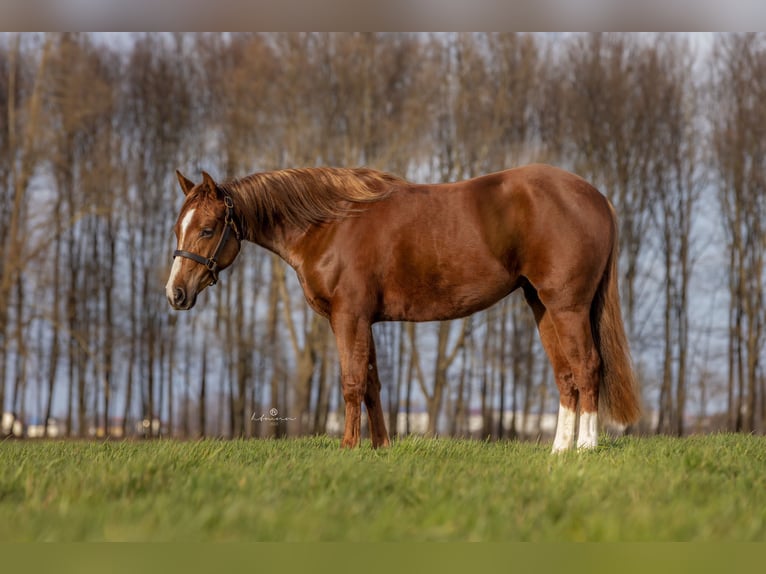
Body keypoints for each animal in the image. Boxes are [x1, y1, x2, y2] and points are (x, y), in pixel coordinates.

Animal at [168, 164, 640, 452]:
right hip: (541, 305)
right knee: (566, 375)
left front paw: (349, 447)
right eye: (178, 227)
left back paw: (585, 448)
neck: (330, 224)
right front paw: (381, 447)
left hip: (568, 306)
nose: (175, 294)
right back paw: (558, 450)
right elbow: (373, 384)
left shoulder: (349, 318)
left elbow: (353, 382)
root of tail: (595, 196)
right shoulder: (365, 321)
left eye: (207, 229)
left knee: (587, 367)